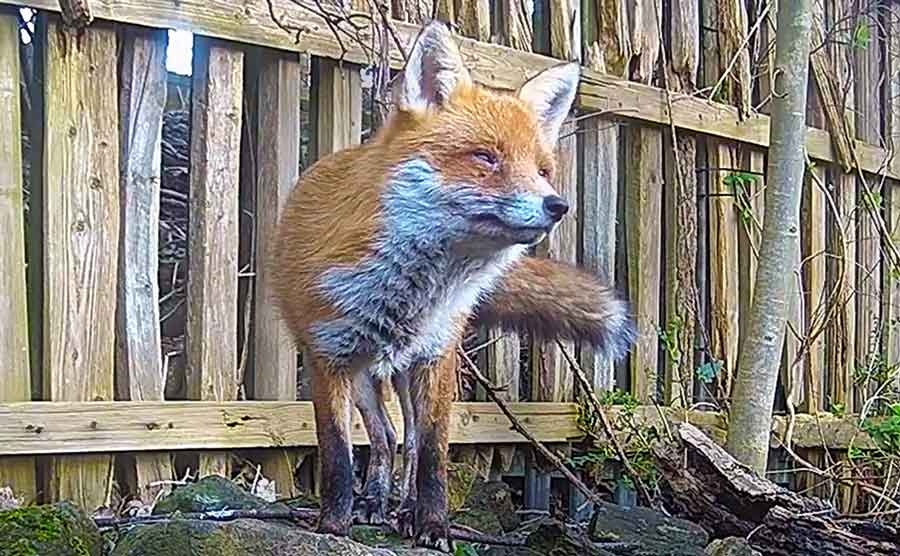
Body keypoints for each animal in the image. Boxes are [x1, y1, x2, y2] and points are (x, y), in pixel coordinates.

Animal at [269, 20, 637, 551]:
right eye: (485, 157)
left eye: (542, 170)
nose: (557, 206)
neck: (408, 292)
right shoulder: (327, 359)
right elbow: (337, 455)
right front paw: (333, 526)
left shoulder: (435, 357)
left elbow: (433, 455)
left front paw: (433, 525)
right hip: (365, 376)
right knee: (384, 437)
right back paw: (374, 502)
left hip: (405, 373)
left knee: (406, 441)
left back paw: (401, 509)